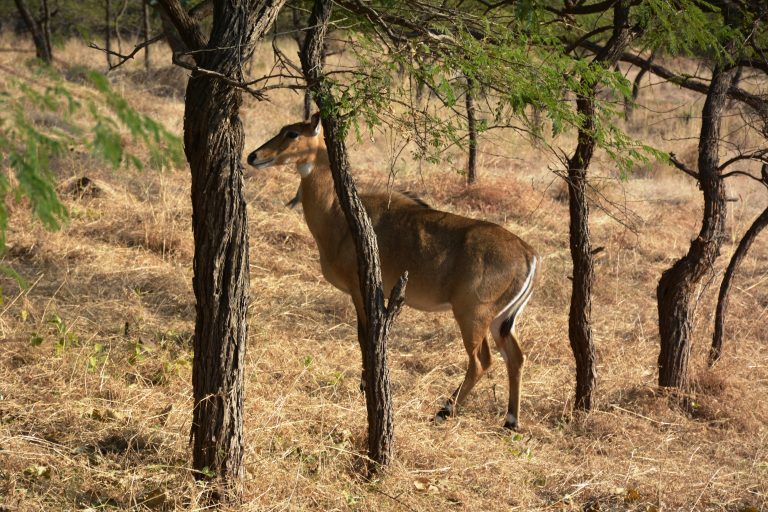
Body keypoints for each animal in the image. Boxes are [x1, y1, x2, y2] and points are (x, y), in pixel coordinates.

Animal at [249, 114, 536, 430]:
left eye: (292, 133)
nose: (254, 156)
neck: (336, 214)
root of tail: (529, 254)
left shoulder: (360, 289)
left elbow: (365, 338)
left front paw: (365, 385)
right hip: (500, 320)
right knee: (516, 357)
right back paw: (511, 420)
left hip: (473, 314)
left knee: (481, 361)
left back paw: (444, 410)